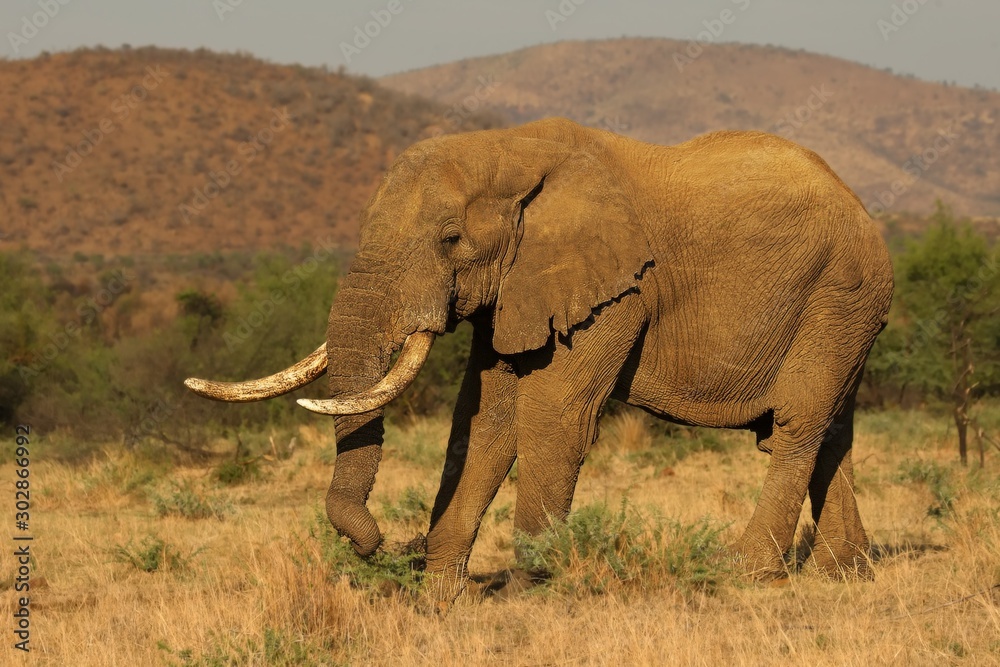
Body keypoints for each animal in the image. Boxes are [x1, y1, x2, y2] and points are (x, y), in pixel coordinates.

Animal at [185, 117, 893, 603]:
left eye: (450, 239)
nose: (388, 544)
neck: (510, 148)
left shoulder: (615, 291)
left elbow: (552, 416)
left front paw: (529, 588)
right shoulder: (514, 287)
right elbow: (484, 419)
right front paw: (440, 593)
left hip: (842, 291)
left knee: (797, 423)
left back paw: (744, 573)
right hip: (845, 307)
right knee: (829, 429)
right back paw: (844, 573)